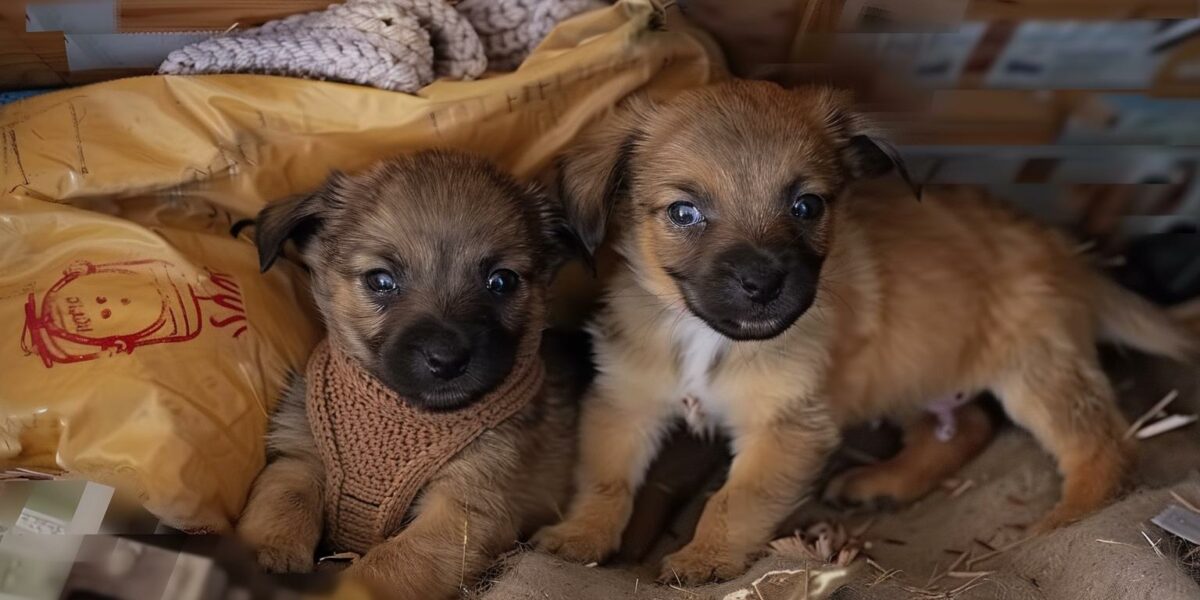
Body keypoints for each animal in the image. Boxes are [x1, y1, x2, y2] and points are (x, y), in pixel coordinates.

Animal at [232, 148, 580, 595]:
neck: (402, 415)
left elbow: (388, 566)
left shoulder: (463, 507)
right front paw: (268, 557)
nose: (446, 359)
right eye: (381, 280)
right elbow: (280, 504)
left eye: (501, 281)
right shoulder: (298, 459)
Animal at [535, 79, 1200, 580]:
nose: (763, 283)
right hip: (910, 372)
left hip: (1036, 369)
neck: (709, 339)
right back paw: (886, 483)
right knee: (966, 427)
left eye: (807, 206)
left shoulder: (787, 425)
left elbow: (734, 499)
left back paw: (1065, 520)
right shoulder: (625, 402)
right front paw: (579, 536)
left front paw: (705, 557)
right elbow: (604, 480)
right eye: (684, 212)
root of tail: (1069, 252)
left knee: (1105, 445)